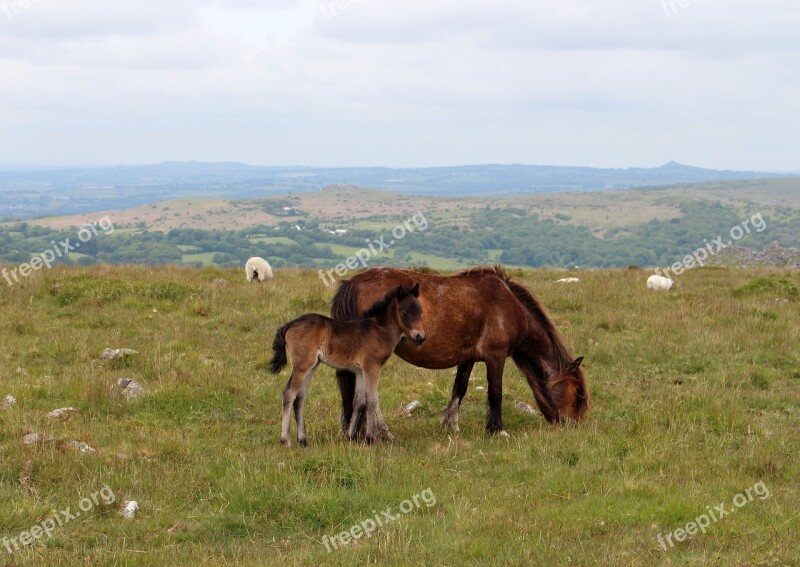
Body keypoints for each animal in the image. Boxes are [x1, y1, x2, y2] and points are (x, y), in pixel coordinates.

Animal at [270, 284, 424, 448]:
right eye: (405, 313)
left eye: (420, 311)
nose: (420, 337)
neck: (379, 329)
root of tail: (290, 324)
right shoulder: (372, 367)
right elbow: (372, 399)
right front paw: (370, 439)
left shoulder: (360, 371)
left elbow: (359, 401)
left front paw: (351, 437)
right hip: (302, 366)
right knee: (289, 393)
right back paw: (286, 440)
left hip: (311, 366)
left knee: (300, 397)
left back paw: (303, 440)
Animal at [330, 268, 588, 440]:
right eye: (577, 393)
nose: (574, 426)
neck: (509, 306)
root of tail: (351, 284)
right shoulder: (496, 356)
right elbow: (495, 393)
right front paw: (497, 430)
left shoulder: (468, 358)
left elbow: (460, 388)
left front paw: (451, 424)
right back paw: (381, 433)